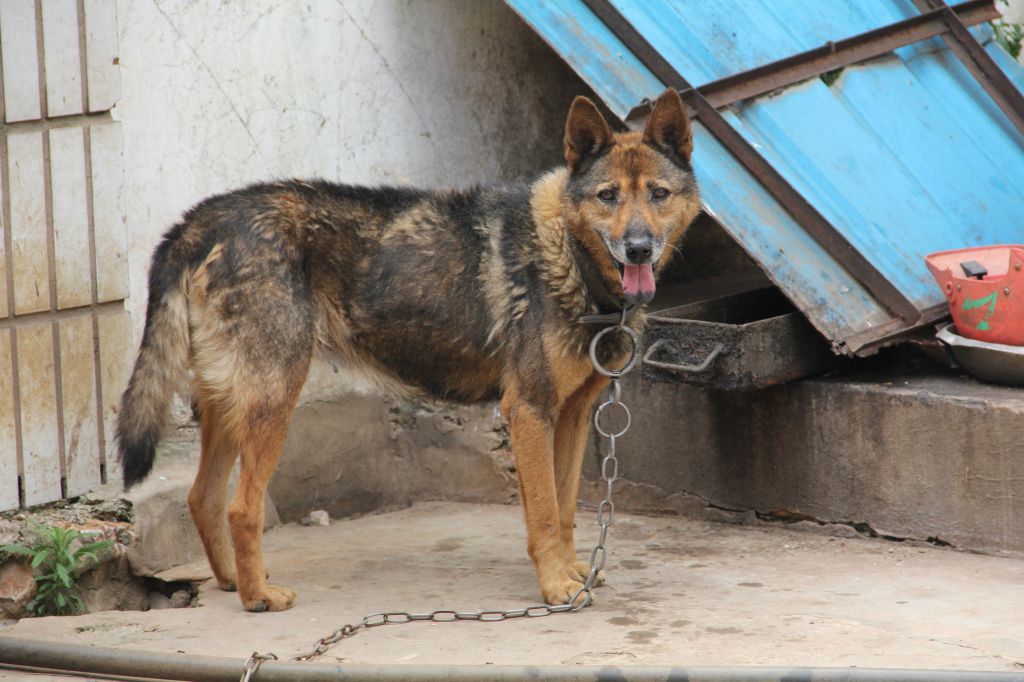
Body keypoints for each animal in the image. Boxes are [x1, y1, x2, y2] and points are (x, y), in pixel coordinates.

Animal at [116, 89, 700, 610]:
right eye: (608, 196)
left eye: (658, 194)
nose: (639, 249)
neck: (572, 260)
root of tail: (199, 220)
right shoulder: (529, 411)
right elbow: (543, 513)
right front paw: (556, 588)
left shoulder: (573, 416)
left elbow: (566, 507)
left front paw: (575, 571)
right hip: (275, 400)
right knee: (241, 508)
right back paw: (260, 596)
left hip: (230, 405)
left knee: (203, 497)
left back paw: (236, 581)